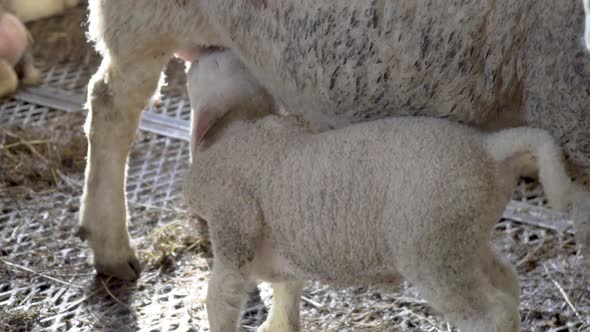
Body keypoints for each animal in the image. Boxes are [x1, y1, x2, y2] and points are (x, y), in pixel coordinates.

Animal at [184, 49, 588, 332]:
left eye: (212, 63)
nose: (194, 55)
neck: (239, 126)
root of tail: (489, 148)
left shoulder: (233, 230)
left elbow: (221, 297)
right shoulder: (283, 256)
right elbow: (285, 299)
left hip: (432, 250)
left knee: (492, 315)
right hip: (463, 237)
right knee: (507, 282)